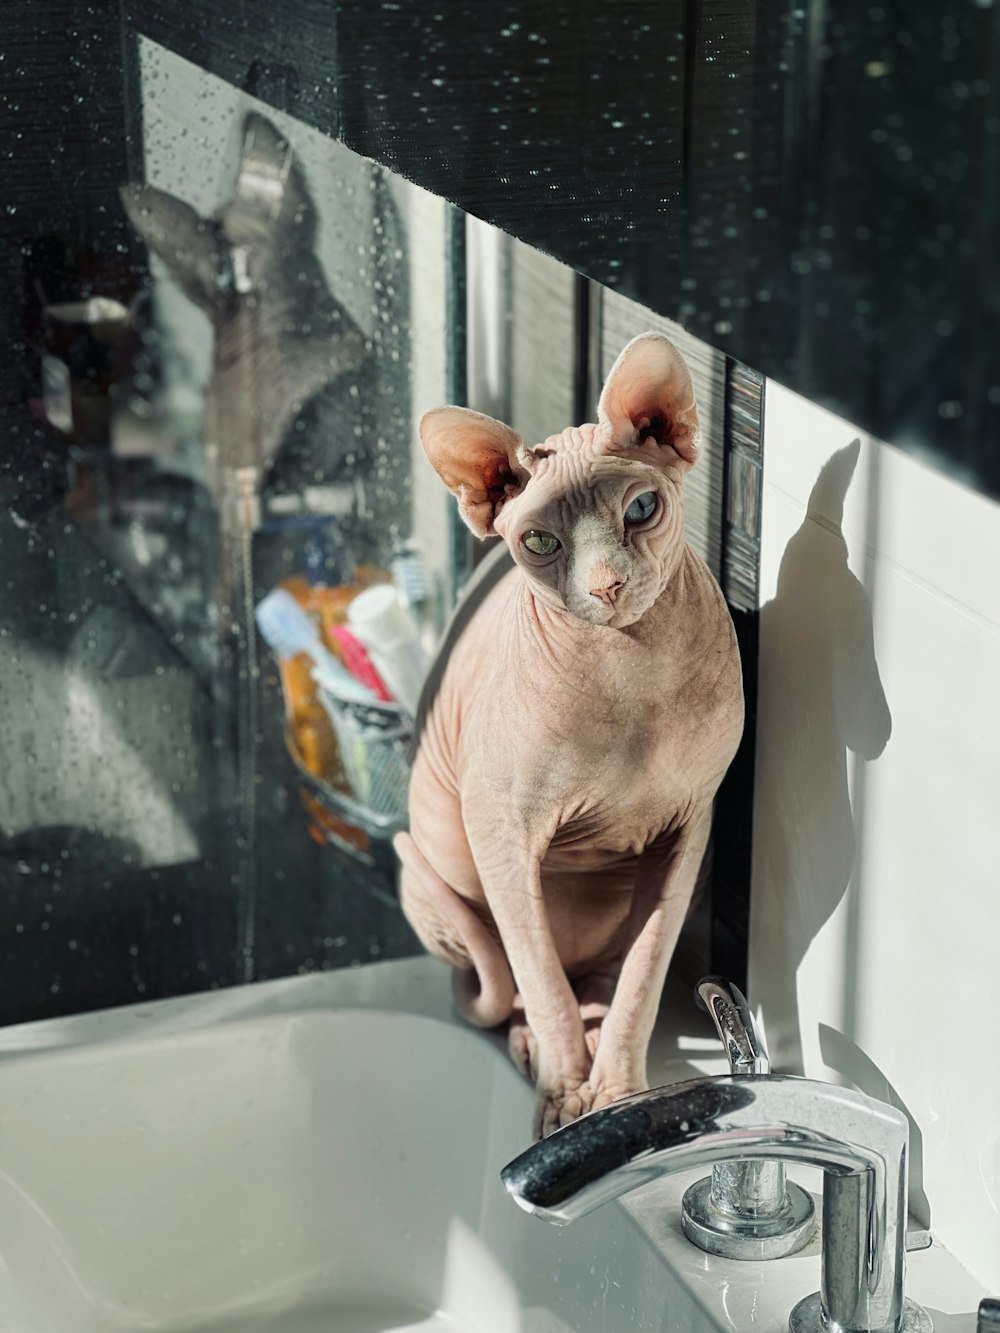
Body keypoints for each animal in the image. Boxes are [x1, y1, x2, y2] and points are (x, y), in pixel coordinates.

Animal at [394, 330, 746, 1135]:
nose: (607, 585)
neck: (633, 678)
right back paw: (533, 1040)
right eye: (540, 541)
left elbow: (645, 976)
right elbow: (536, 972)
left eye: (641, 508)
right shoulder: (501, 828)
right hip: (444, 859)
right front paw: (565, 1094)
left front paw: (616, 1090)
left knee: (599, 974)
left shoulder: (690, 826)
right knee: (523, 974)